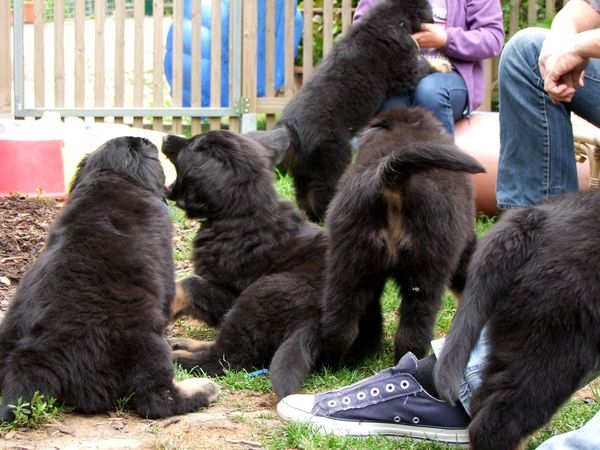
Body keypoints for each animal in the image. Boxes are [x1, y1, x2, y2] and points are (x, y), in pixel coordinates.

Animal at [163, 130, 328, 398]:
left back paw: (177, 357)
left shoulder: (230, 292)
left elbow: (188, 283)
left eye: (193, 143)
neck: (240, 213)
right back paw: (186, 344)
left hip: (258, 294)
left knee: (227, 358)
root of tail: (314, 323)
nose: (165, 137)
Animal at [276, 0, 436, 221]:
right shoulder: (405, 69)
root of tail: (291, 132)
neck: (392, 18)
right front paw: (440, 65)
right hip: (331, 160)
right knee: (322, 193)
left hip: (302, 171)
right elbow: (421, 65)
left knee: (304, 196)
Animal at [318, 107, 482, 368]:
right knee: (415, 324)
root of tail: (392, 180)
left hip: (347, 259)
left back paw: (334, 362)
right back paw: (409, 358)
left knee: (340, 319)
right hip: (426, 268)